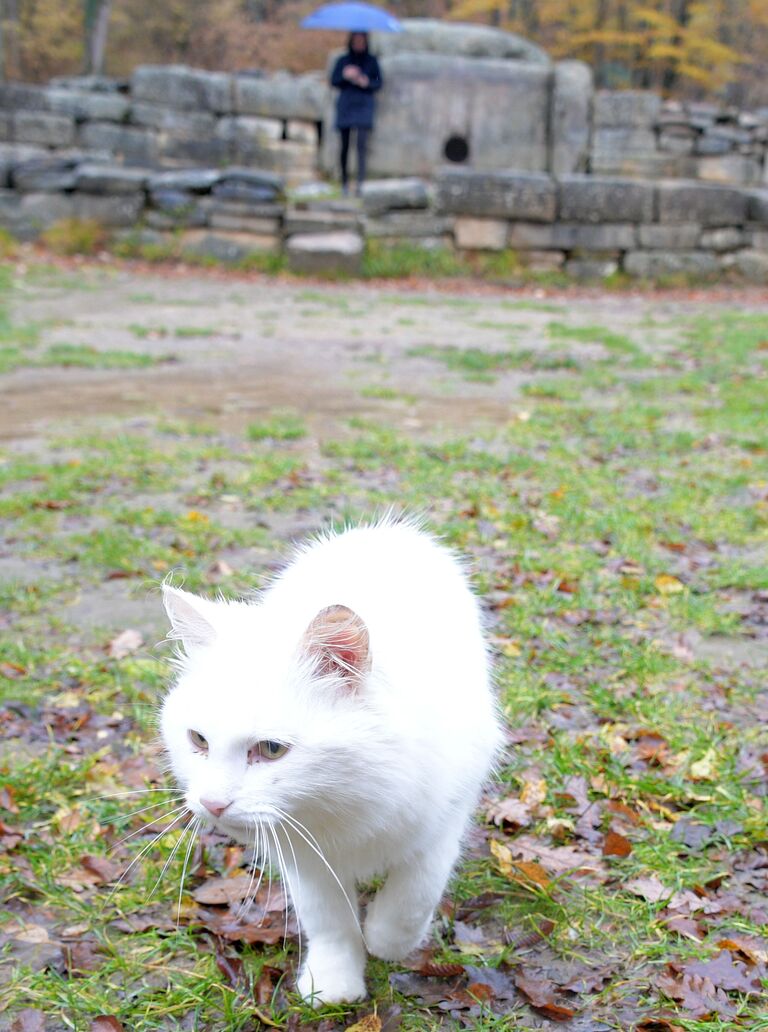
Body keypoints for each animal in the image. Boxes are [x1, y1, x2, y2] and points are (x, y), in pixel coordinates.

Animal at [158, 520, 501, 1003]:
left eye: (271, 750)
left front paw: (387, 942)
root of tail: (383, 531)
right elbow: (330, 921)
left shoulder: (442, 823)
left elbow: (413, 896)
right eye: (198, 741)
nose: (212, 804)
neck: (346, 796)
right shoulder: (304, 856)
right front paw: (334, 981)